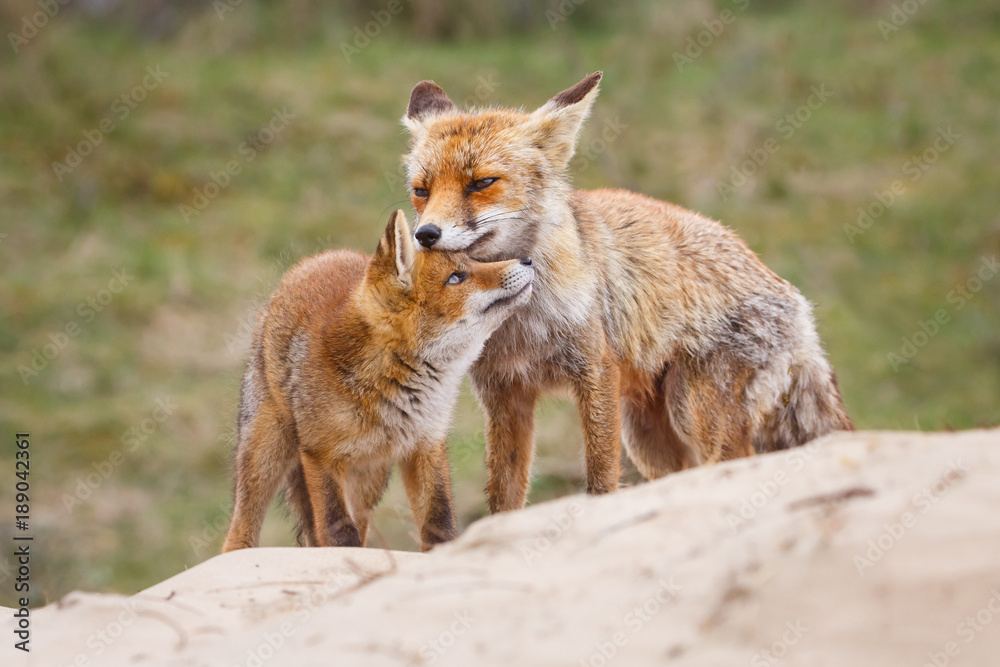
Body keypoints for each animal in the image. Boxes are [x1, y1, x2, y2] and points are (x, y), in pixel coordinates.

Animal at [226, 211, 536, 552]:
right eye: (456, 278)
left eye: (471, 261)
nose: (527, 259)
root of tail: (316, 259)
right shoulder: (319, 455)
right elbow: (338, 531)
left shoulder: (426, 446)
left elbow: (439, 522)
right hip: (267, 452)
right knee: (239, 528)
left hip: (368, 480)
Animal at [398, 72, 852, 512]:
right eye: (421, 190)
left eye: (482, 183)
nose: (426, 235)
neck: (520, 323)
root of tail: (798, 307)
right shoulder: (505, 395)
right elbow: (505, 498)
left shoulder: (596, 371)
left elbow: (601, 480)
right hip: (648, 438)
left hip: (693, 413)